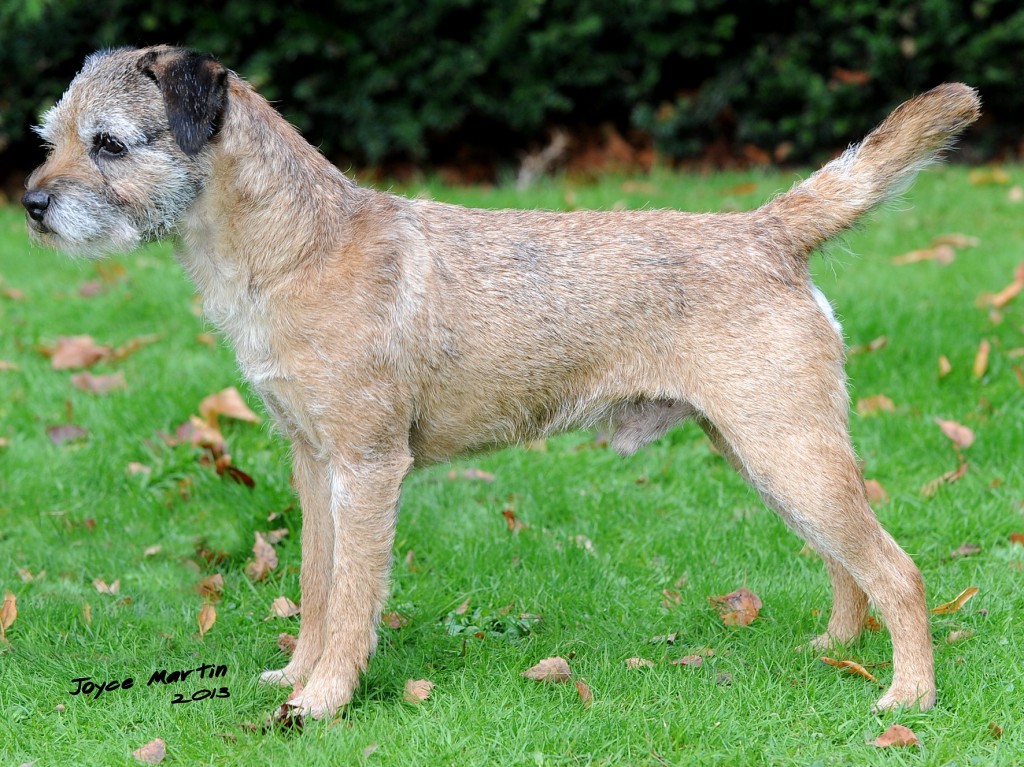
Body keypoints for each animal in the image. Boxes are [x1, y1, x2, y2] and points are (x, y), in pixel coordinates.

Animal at [23, 46, 980, 718]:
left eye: (109, 144)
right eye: (51, 136)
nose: (30, 205)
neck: (296, 245)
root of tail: (765, 230)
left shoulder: (368, 467)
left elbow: (353, 594)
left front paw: (323, 700)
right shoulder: (312, 460)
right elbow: (318, 583)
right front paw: (294, 675)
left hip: (787, 449)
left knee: (898, 569)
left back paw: (909, 695)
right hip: (770, 454)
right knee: (849, 562)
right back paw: (836, 646)